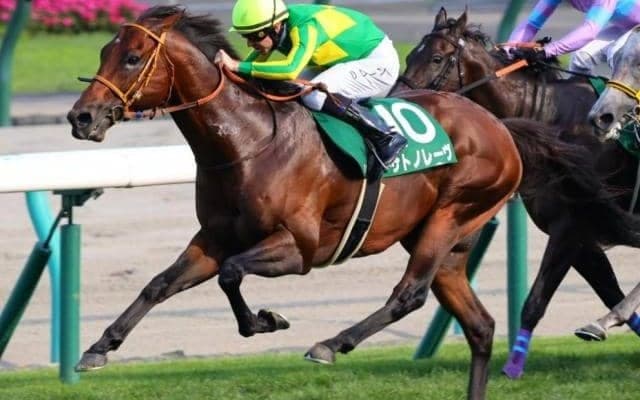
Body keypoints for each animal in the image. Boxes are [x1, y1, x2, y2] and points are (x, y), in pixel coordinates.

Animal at [66, 6, 524, 399]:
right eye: (104, 52)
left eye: (132, 57)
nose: (80, 118)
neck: (248, 142)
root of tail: (498, 126)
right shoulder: (214, 239)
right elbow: (159, 283)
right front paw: (99, 347)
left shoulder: (299, 248)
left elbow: (231, 274)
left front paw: (265, 321)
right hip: (442, 242)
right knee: (480, 326)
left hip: (451, 215)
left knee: (409, 294)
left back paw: (331, 344)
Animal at [393, 7, 640, 379]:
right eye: (410, 56)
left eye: (437, 58)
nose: (397, 100)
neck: (552, 117)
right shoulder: (577, 232)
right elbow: (608, 288)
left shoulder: (572, 226)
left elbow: (535, 302)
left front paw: (512, 365)